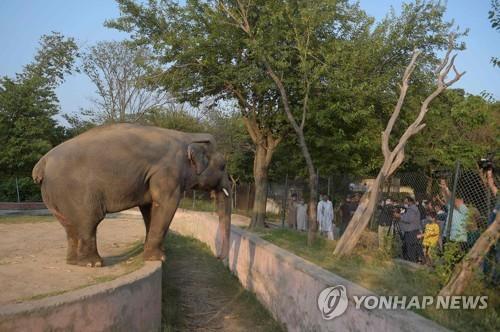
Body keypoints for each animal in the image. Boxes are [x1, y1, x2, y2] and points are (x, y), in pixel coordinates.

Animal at [32, 123, 231, 266]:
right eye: (223, 166)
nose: (218, 258)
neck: (188, 136)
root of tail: (42, 163)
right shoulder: (168, 172)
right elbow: (166, 204)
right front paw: (158, 258)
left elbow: (149, 207)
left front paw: (157, 253)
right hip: (76, 191)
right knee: (89, 220)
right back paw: (93, 264)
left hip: (55, 195)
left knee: (69, 225)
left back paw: (74, 262)